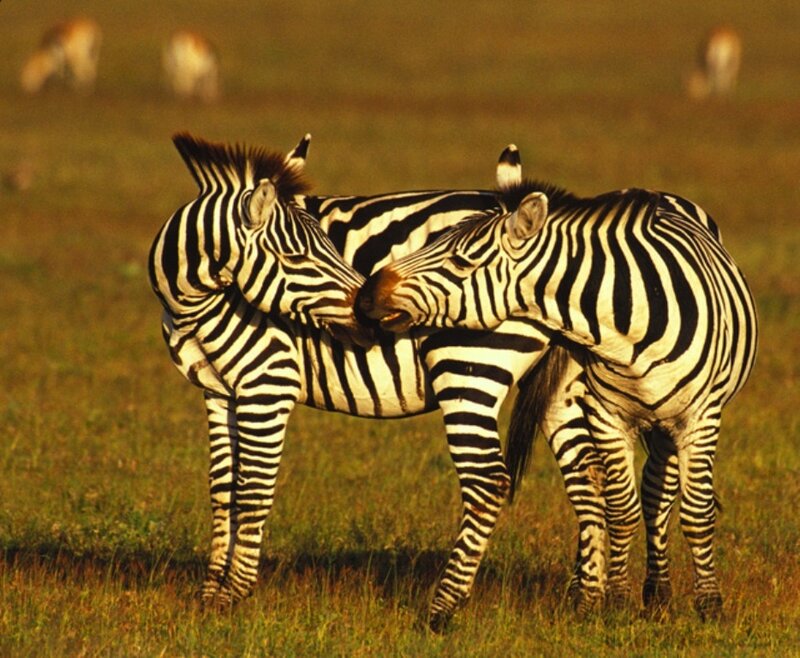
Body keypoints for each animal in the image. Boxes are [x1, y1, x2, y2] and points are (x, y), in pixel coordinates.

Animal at [359, 181, 758, 620]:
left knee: (660, 492)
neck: (631, 324)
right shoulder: (606, 415)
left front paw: (710, 607)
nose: (364, 295)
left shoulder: (701, 417)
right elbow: (621, 509)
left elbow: (697, 513)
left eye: (461, 261)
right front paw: (618, 601)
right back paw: (655, 594)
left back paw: (659, 592)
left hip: (672, 420)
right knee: (651, 493)